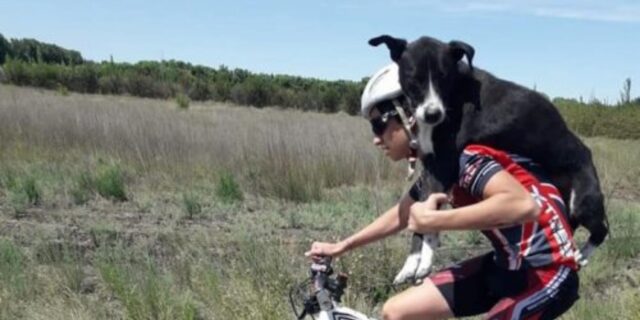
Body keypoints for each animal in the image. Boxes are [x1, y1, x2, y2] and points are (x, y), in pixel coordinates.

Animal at [368, 35, 608, 284]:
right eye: (414, 79)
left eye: (444, 77)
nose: (433, 114)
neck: (456, 93)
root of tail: (586, 152)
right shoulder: (430, 169)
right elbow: (420, 215)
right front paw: (411, 263)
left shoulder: (445, 165)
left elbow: (428, 218)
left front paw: (424, 262)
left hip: (584, 200)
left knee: (601, 230)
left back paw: (582, 254)